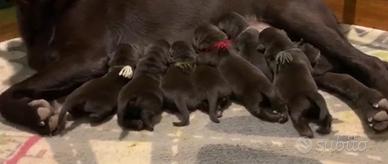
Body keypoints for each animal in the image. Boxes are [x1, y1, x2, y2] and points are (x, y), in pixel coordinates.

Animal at [0, 0, 388, 135]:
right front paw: (38, 112)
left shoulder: (87, 56)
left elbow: (6, 93)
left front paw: (38, 115)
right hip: (296, 53)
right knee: (337, 76)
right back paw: (373, 109)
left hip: (295, 15)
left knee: (370, 63)